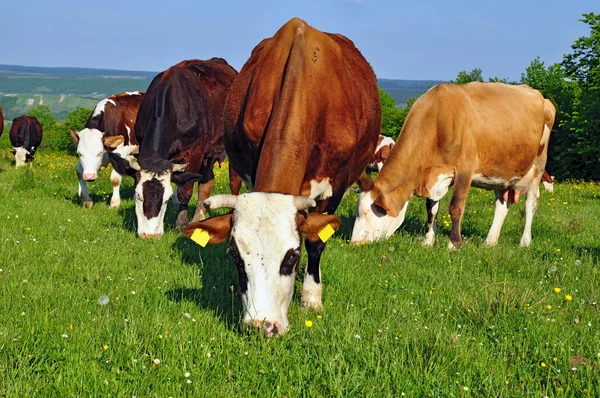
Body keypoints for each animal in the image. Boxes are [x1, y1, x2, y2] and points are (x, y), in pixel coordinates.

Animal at [109, 58, 240, 238]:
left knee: (235, 182)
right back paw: (198, 218)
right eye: (138, 196)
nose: (150, 235)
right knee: (206, 180)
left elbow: (185, 191)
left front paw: (181, 224)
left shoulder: (196, 152)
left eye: (166, 198)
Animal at [182, 17, 380, 336]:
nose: (262, 325)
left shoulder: (336, 185)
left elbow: (316, 242)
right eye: (235, 257)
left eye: (292, 257)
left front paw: (311, 298)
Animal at [350, 82, 556, 249]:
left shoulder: (465, 170)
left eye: (369, 212)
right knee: (501, 205)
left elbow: (456, 207)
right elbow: (431, 208)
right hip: (502, 171)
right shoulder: (434, 174)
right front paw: (428, 241)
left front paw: (454, 244)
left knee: (531, 203)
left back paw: (524, 242)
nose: (353, 243)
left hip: (538, 166)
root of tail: (541, 96)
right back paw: (490, 241)